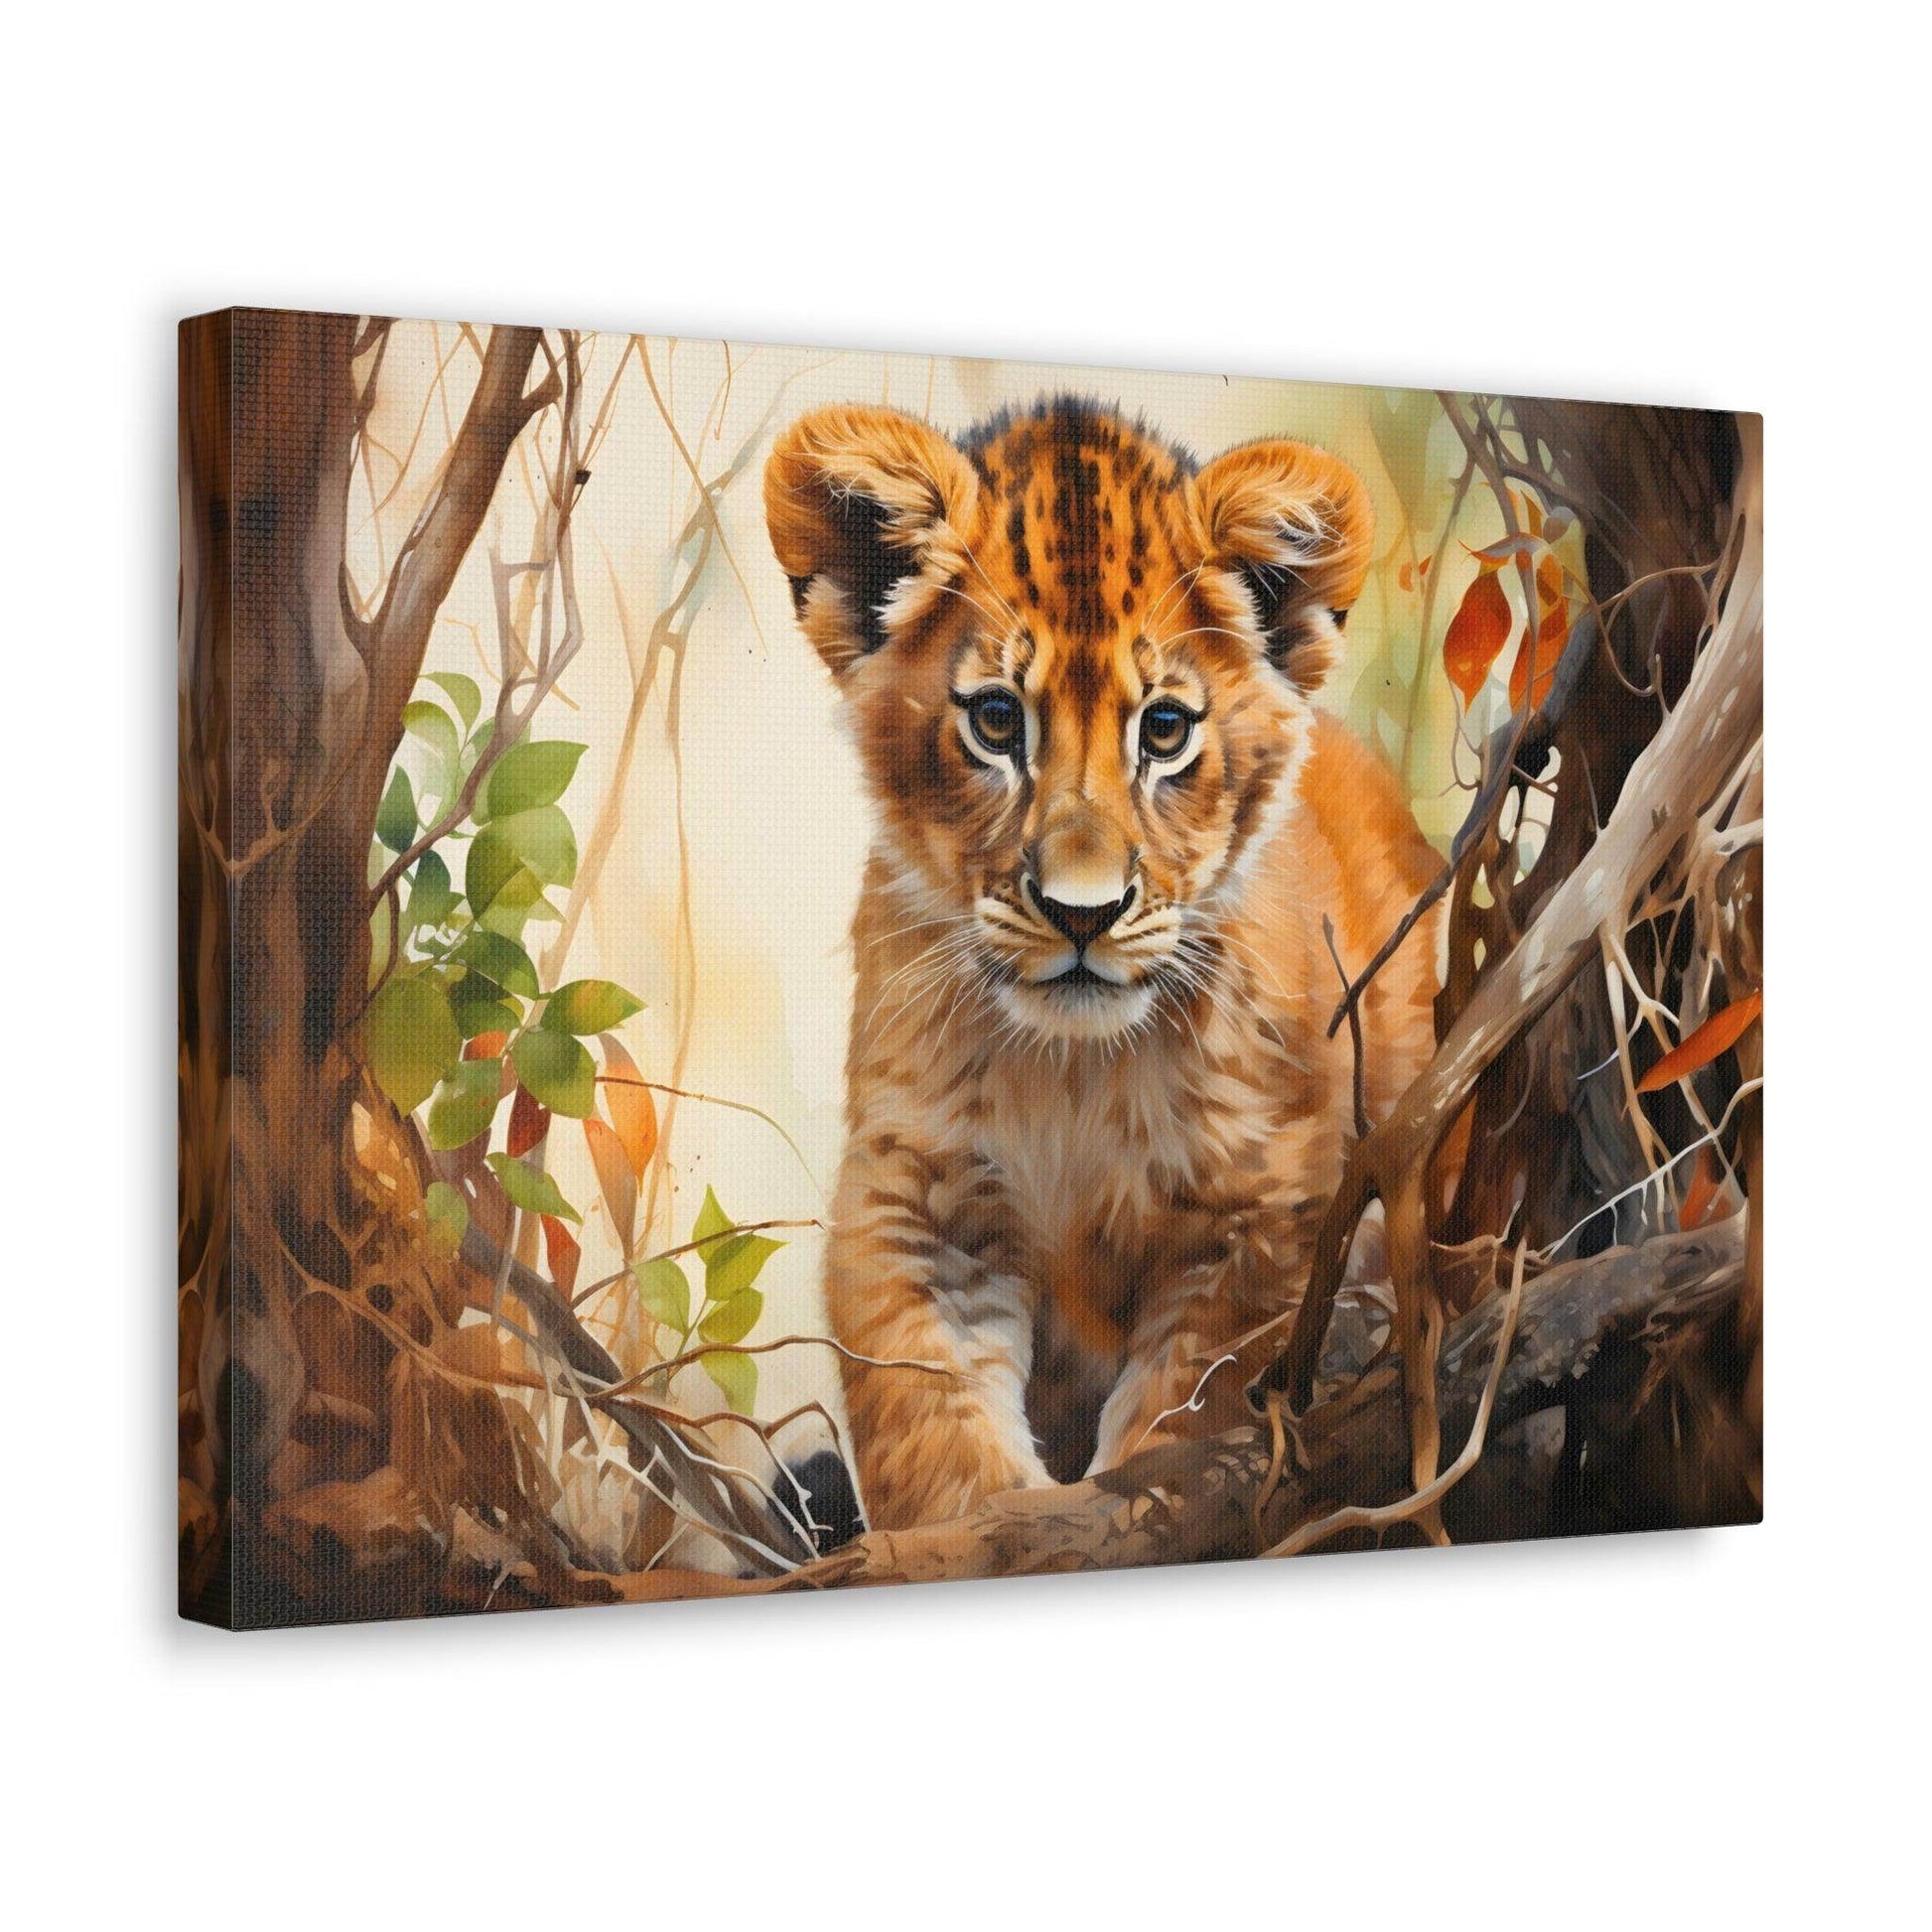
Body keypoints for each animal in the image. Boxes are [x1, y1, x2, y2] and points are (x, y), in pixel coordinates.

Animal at [764, 395, 1441, 1531]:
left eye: (1163, 730)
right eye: (996, 720)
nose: (1082, 915)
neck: (1073, 1071)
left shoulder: (1261, 1209)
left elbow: (1187, 1414)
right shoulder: (916, 1195)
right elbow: (931, 1434)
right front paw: (992, 1523)